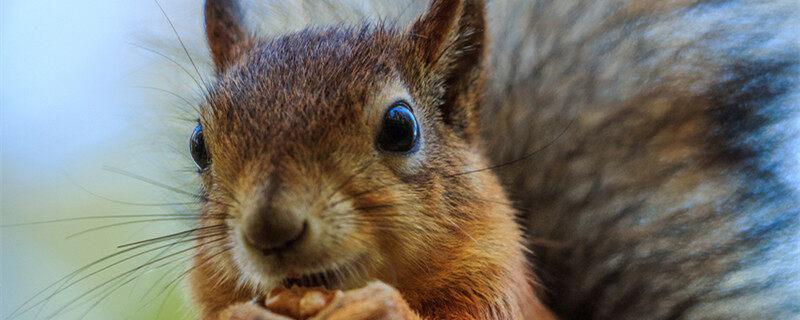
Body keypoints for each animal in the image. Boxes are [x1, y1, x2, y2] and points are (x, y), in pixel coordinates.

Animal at [184, 0, 796, 320]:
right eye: (198, 143)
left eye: (401, 127)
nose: (270, 229)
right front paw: (247, 314)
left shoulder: (496, 296)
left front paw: (378, 306)